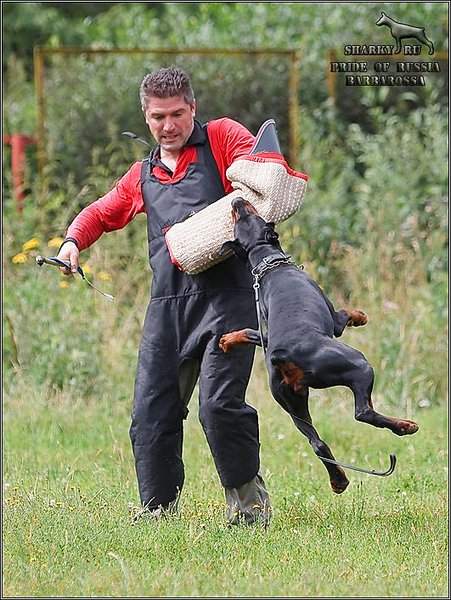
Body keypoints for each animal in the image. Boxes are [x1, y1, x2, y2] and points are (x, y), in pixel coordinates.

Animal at [220, 199, 420, 494]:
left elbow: (248, 332)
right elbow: (345, 314)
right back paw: (405, 426)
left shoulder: (265, 335)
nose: (235, 201)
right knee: (363, 412)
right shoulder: (335, 320)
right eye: (248, 212)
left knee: (317, 443)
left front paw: (226, 340)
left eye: (241, 216)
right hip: (358, 364)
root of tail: (283, 356)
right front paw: (361, 316)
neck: (269, 265)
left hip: (291, 402)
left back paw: (339, 480)